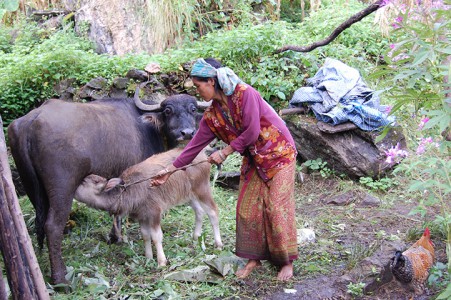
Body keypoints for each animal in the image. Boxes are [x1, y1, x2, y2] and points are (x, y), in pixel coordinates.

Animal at [8, 88, 210, 284]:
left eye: (193, 109)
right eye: (168, 111)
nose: (187, 133)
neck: (148, 128)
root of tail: (33, 120)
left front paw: (115, 237)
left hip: (33, 189)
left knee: (40, 225)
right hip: (63, 188)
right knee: (52, 226)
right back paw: (60, 278)